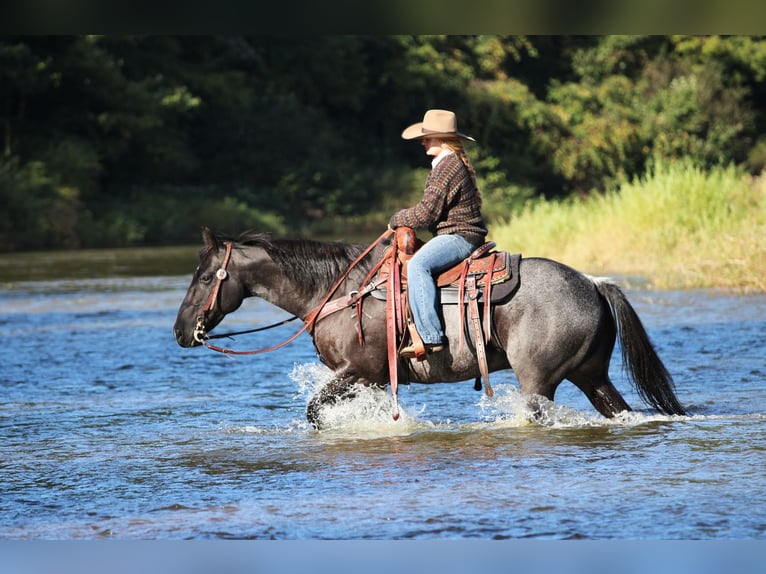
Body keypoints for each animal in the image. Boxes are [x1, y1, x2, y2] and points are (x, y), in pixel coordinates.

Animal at [174, 227, 686, 428]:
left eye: (205, 277)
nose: (181, 332)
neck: (338, 290)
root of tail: (593, 283)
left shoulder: (358, 372)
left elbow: (315, 412)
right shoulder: (372, 380)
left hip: (539, 381)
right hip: (591, 376)